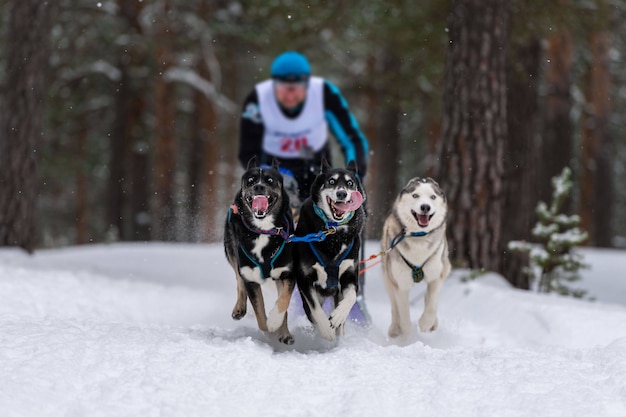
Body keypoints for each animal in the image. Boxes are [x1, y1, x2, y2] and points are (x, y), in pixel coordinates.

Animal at [222, 158, 294, 342]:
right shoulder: (251, 279)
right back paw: (239, 308)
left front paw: (277, 325)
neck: (264, 230)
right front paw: (269, 331)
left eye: (269, 180)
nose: (259, 187)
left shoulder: (286, 273)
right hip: (232, 252)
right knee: (238, 278)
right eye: (251, 181)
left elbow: (283, 302)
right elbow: (260, 313)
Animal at [294, 158, 364, 340]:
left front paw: (338, 317)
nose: (342, 194)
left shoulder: (349, 275)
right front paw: (326, 330)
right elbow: (316, 310)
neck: (333, 232)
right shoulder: (305, 280)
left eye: (350, 183)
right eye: (331, 181)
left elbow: (351, 297)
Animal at [380, 176, 448, 338]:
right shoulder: (401, 284)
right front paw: (408, 336)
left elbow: (431, 305)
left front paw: (425, 323)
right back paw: (395, 328)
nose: (425, 207)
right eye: (415, 195)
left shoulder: (438, 276)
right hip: (388, 278)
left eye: (433, 197)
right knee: (394, 307)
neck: (418, 237)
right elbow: (403, 314)